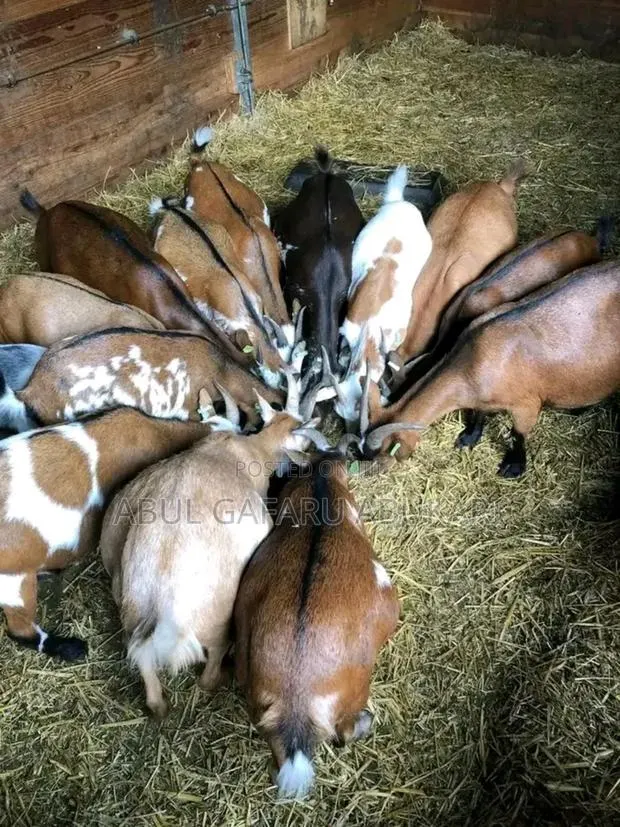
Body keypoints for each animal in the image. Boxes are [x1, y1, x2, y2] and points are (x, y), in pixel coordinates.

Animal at [99, 374, 327, 718]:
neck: (251, 449)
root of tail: (160, 600)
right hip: (217, 618)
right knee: (215, 652)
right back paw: (214, 679)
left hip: (129, 610)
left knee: (142, 658)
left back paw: (158, 707)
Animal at [361, 260, 620, 477]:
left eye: (384, 452)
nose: (369, 472)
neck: (473, 359)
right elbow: (479, 413)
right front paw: (469, 437)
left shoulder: (526, 405)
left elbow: (519, 434)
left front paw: (514, 466)